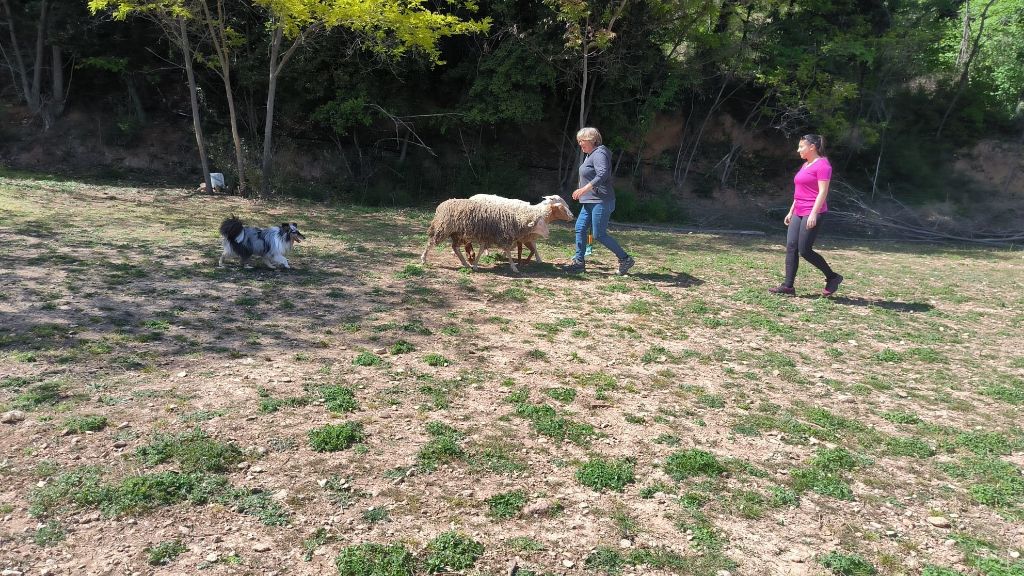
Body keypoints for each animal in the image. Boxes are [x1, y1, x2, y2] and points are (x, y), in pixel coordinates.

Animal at [417, 193, 577, 272]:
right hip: (443, 228)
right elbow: (512, 251)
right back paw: (424, 258)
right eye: (561, 205)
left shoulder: (494, 235)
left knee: (456, 247)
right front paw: (515, 266)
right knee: (431, 243)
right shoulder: (506, 236)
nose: (572, 216)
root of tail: (442, 204)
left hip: (458, 233)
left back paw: (466, 263)